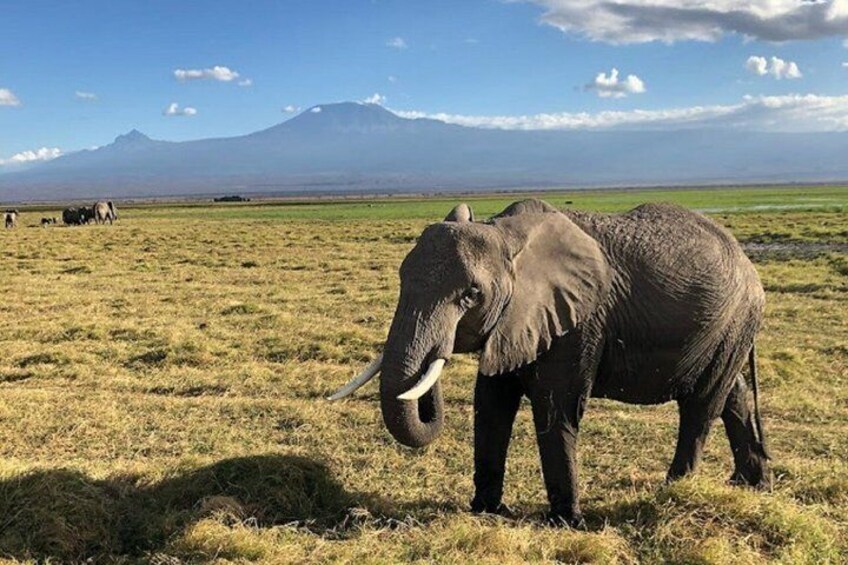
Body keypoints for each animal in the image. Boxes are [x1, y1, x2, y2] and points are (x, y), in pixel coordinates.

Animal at [330, 198, 771, 527]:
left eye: (471, 295)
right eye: (401, 278)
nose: (438, 353)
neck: (504, 234)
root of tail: (747, 262)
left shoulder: (577, 322)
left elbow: (556, 409)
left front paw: (566, 522)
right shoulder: (515, 321)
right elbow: (491, 405)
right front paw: (487, 511)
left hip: (734, 318)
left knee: (701, 406)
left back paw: (670, 495)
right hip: (727, 330)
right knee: (733, 395)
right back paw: (752, 485)